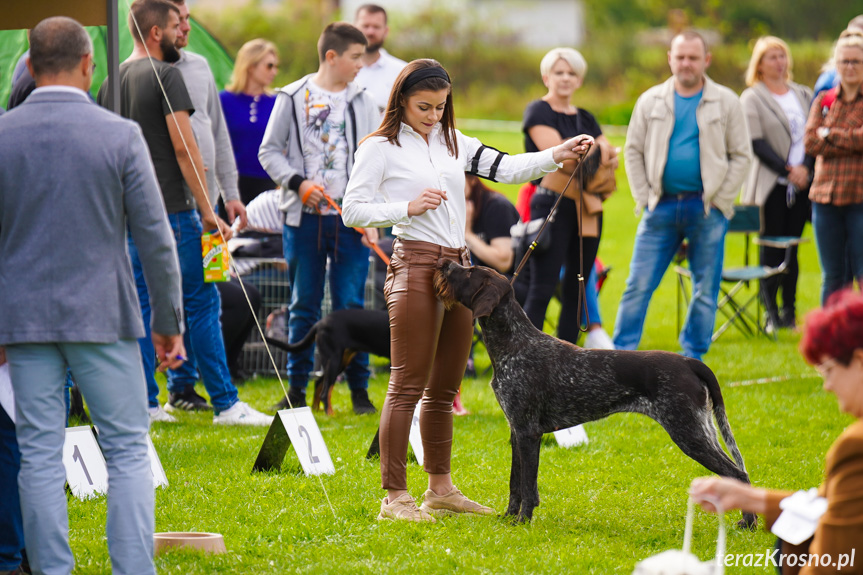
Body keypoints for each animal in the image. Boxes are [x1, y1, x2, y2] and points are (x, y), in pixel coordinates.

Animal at [436, 260, 752, 528]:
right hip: (703, 430)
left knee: (738, 473)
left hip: (688, 432)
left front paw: (523, 521)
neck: (514, 344)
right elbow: (515, 483)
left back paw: (748, 523)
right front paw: (509, 518)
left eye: (469, 271)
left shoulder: (528, 432)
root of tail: (690, 362)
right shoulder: (516, 430)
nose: (444, 263)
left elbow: (527, 485)